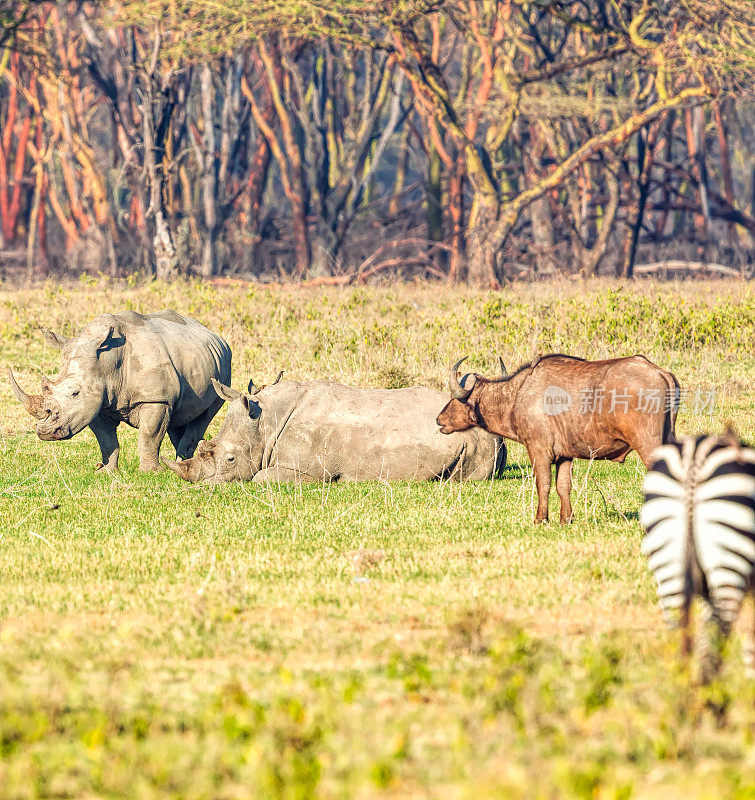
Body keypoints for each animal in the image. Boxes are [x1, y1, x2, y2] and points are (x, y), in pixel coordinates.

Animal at [438, 354, 680, 520]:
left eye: (455, 399)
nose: (439, 419)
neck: (518, 394)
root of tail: (658, 371)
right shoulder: (565, 456)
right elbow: (563, 486)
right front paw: (566, 519)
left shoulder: (538, 451)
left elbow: (543, 484)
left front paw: (540, 519)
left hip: (649, 445)